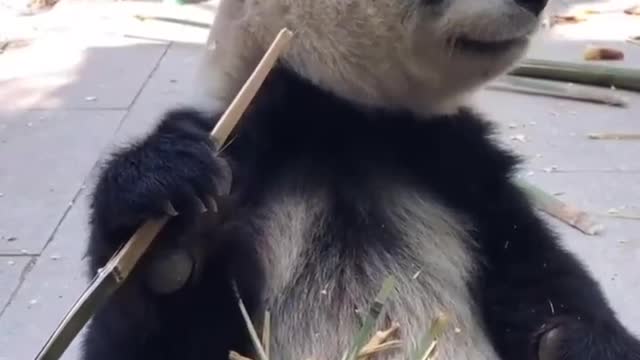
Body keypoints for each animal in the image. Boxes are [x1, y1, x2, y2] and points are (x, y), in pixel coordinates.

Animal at [80, 0, 640, 358]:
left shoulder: (464, 177)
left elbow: (546, 285)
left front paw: (573, 341)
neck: (338, 120)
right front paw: (166, 222)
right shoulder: (246, 153)